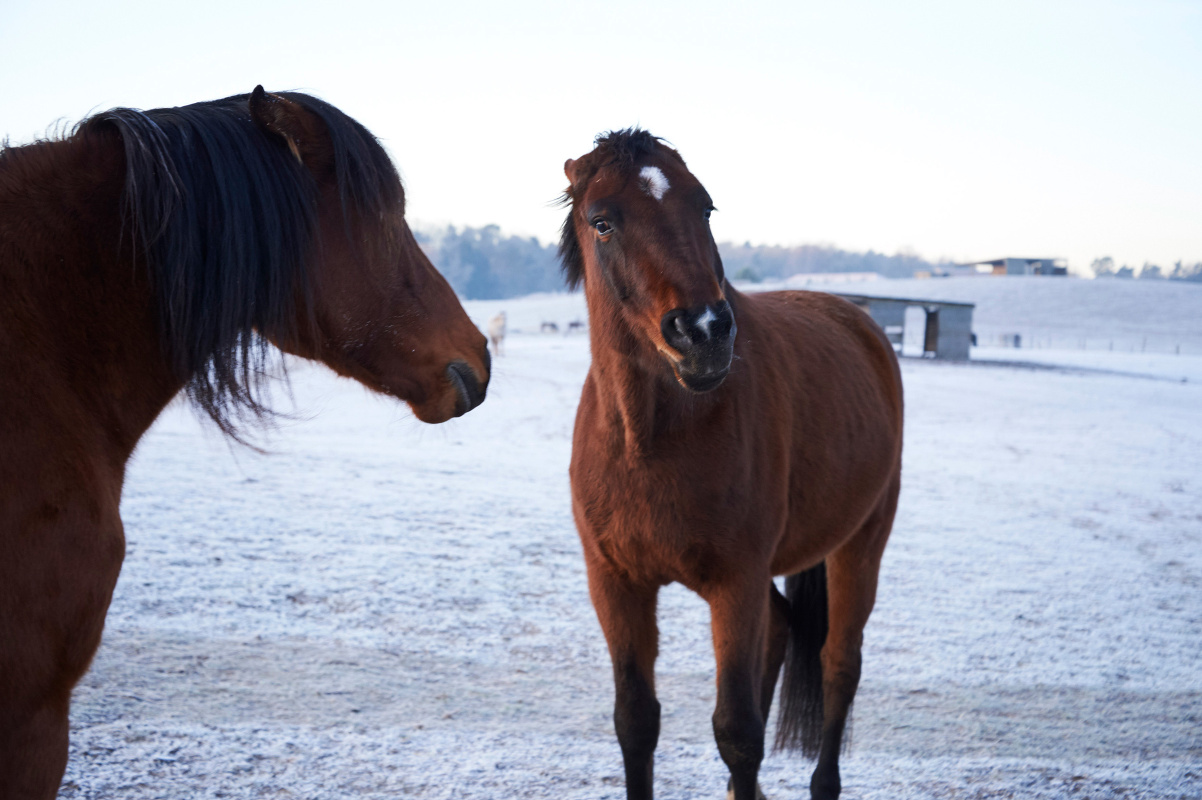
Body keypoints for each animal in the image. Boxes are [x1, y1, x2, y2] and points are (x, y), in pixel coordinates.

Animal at [560, 129, 903, 800]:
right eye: (602, 221)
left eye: (706, 207)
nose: (704, 332)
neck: (650, 440)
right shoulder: (615, 582)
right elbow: (636, 722)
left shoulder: (735, 581)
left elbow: (737, 732)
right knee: (781, 633)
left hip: (861, 544)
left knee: (838, 665)